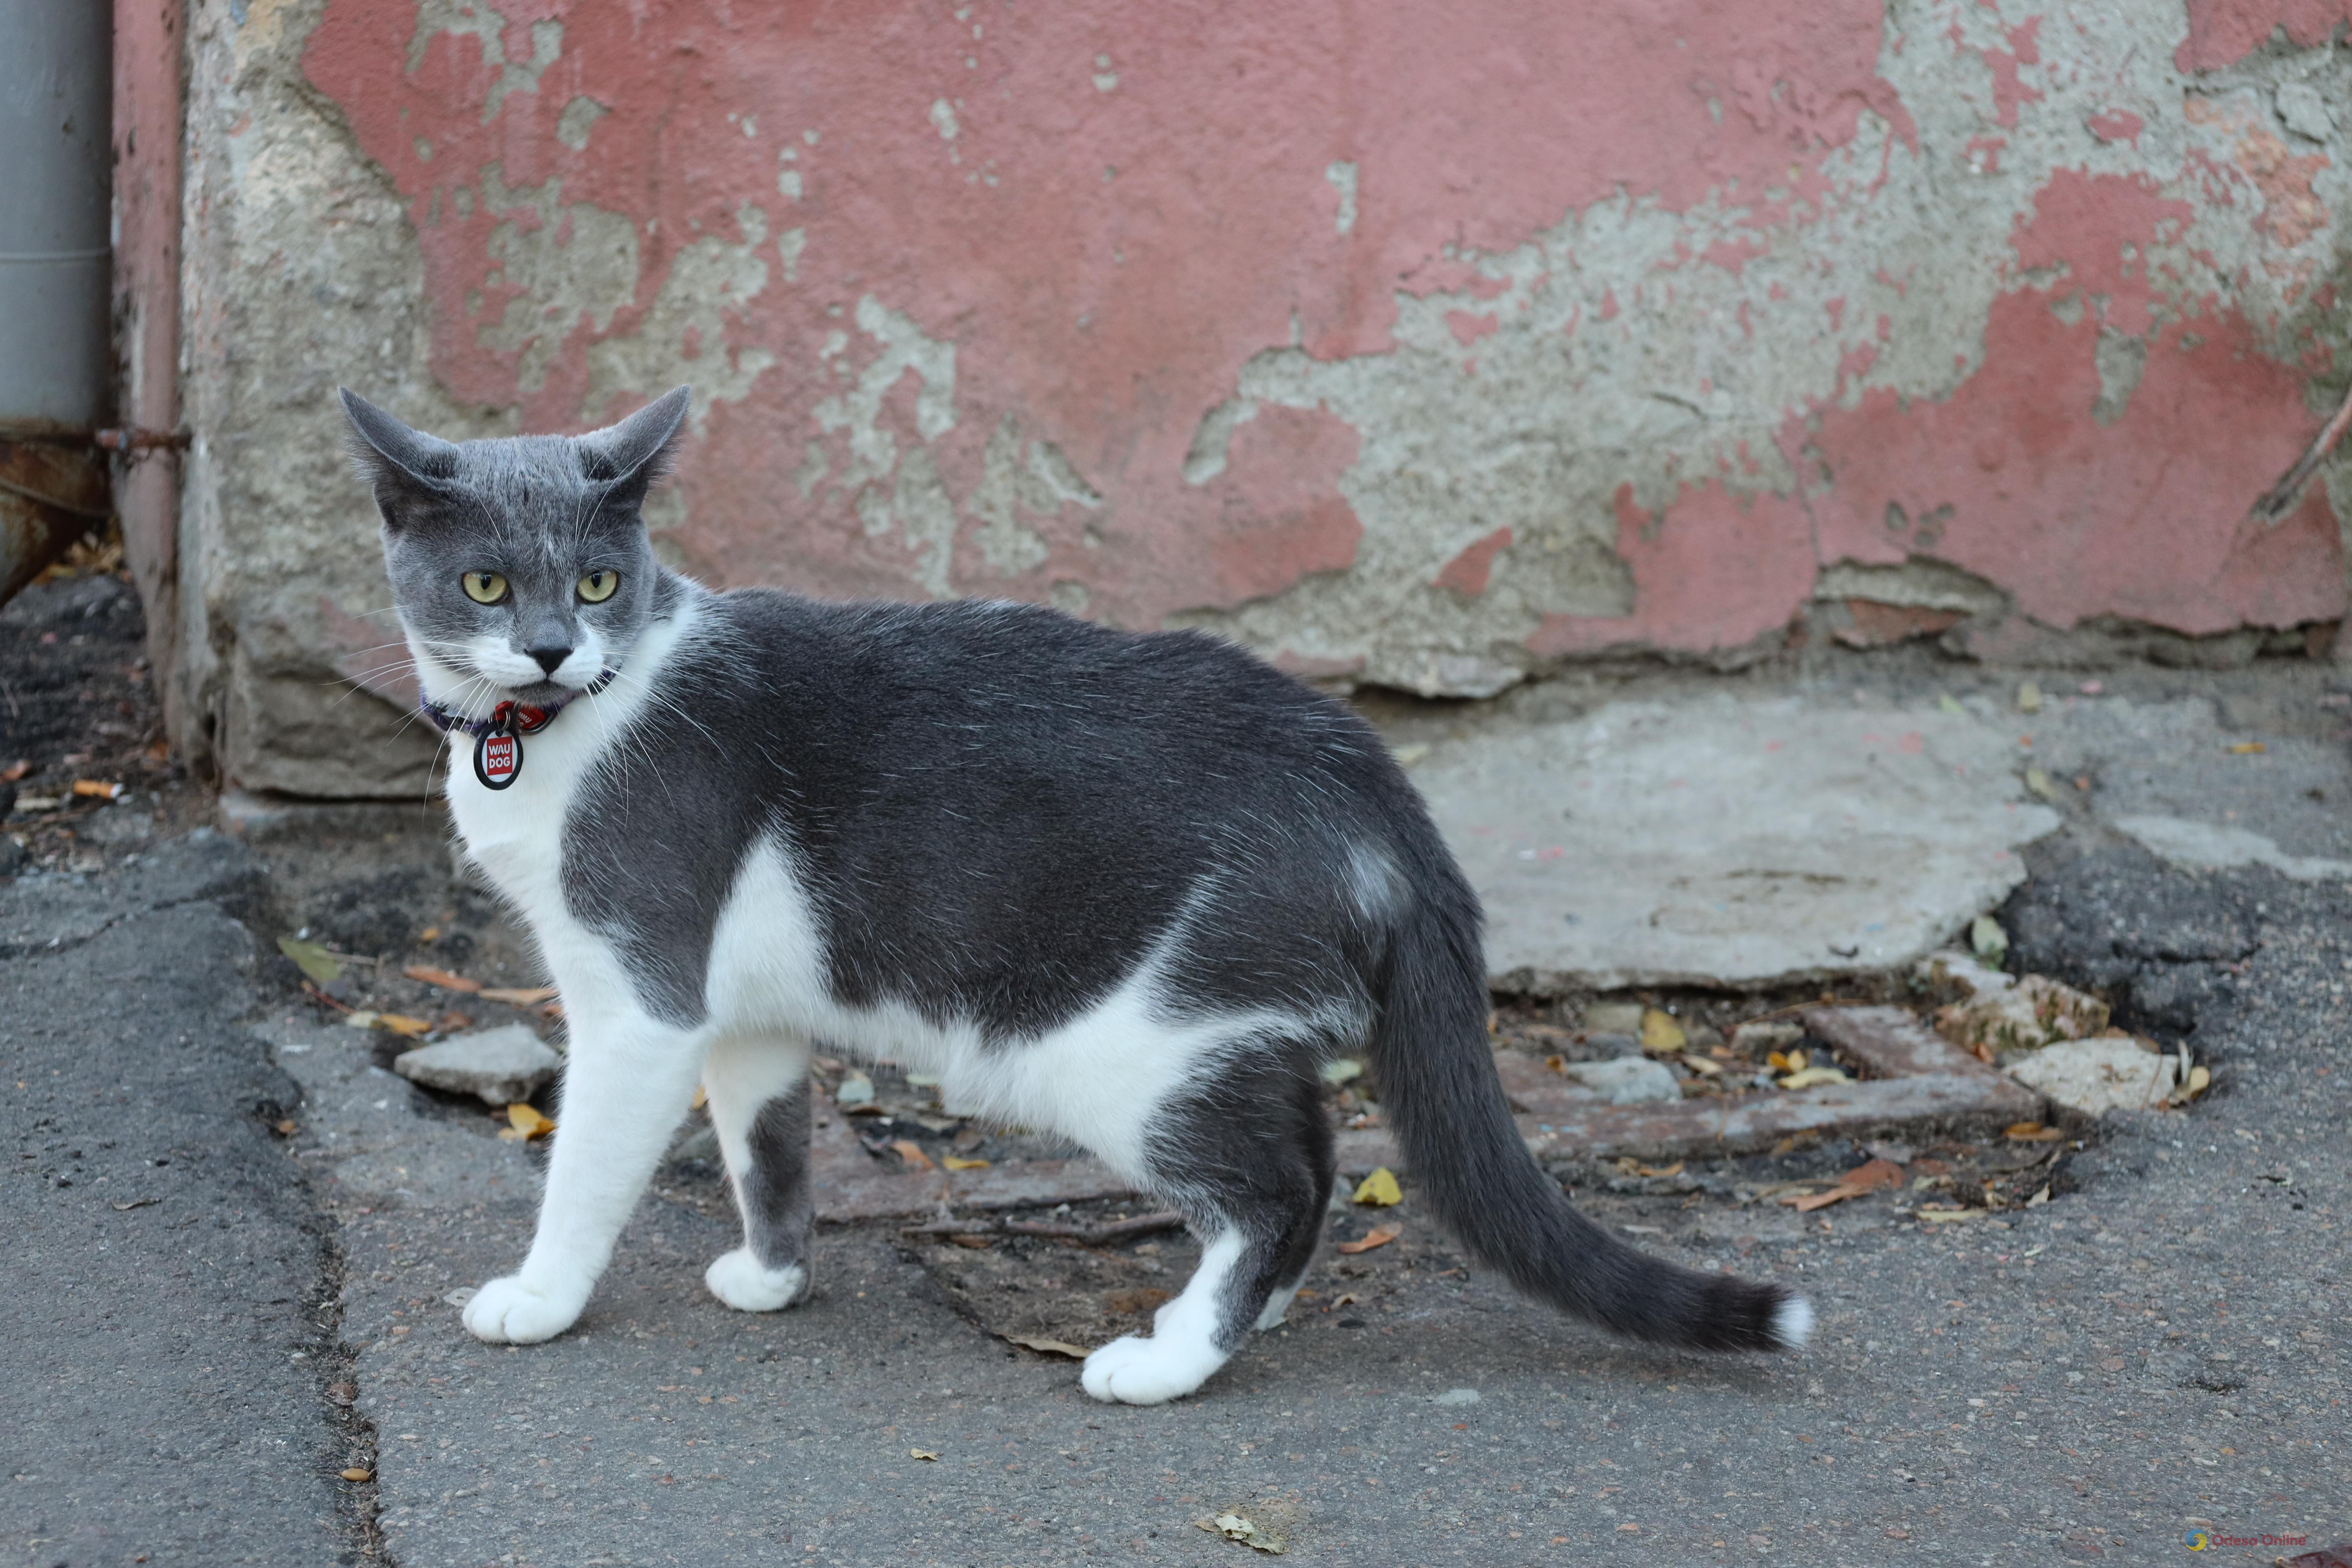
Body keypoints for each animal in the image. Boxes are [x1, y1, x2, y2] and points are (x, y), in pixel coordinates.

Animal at [341, 385, 1806, 1401]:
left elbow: (587, 1166)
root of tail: (1369, 779)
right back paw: (1244, 1312)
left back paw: (1168, 1360)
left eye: (596, 580)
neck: (548, 733)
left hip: (1124, 1037)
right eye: (485, 580)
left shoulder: (640, 989)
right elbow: (767, 1144)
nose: (550, 647)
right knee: (1310, 1151)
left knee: (1273, 1186)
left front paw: (538, 1296)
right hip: (1214, 1019)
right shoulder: (743, 1009)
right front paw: (768, 1275)